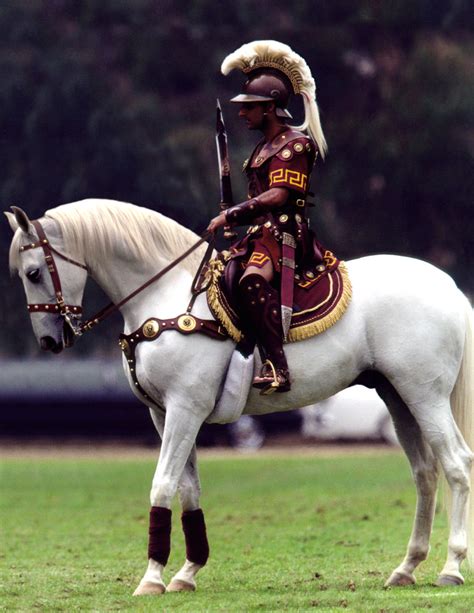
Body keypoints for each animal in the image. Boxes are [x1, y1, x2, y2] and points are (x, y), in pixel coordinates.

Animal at [5, 200, 472, 592]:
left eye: (33, 273)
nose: (50, 341)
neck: (168, 299)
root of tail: (450, 287)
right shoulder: (167, 415)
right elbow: (189, 490)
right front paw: (187, 572)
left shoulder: (184, 410)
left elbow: (162, 485)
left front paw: (152, 578)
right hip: (397, 397)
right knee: (425, 474)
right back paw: (406, 568)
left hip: (425, 395)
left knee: (456, 464)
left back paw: (451, 567)